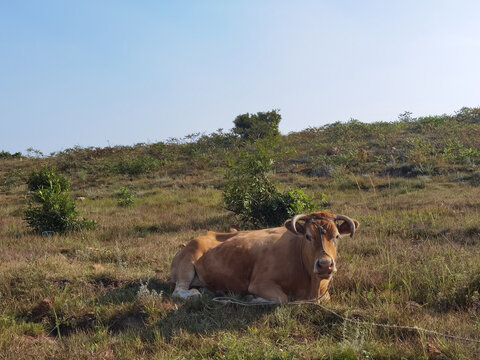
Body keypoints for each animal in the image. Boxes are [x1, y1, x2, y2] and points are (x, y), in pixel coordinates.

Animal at [170, 212, 360, 302]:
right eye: (307, 236)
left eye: (337, 236)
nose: (325, 265)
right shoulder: (259, 283)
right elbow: (282, 298)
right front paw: (251, 298)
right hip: (185, 266)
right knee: (179, 291)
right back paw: (196, 293)